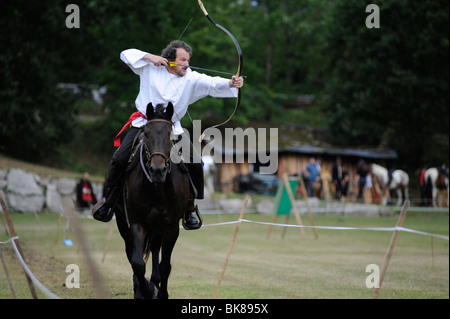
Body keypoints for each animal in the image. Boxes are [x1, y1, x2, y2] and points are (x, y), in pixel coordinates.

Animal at [115, 102, 191, 300]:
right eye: (147, 134)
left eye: (171, 135)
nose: (158, 170)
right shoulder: (136, 223)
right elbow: (137, 263)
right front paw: (147, 290)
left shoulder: (171, 227)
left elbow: (165, 265)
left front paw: (160, 292)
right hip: (124, 224)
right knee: (132, 254)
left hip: (157, 227)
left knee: (155, 249)